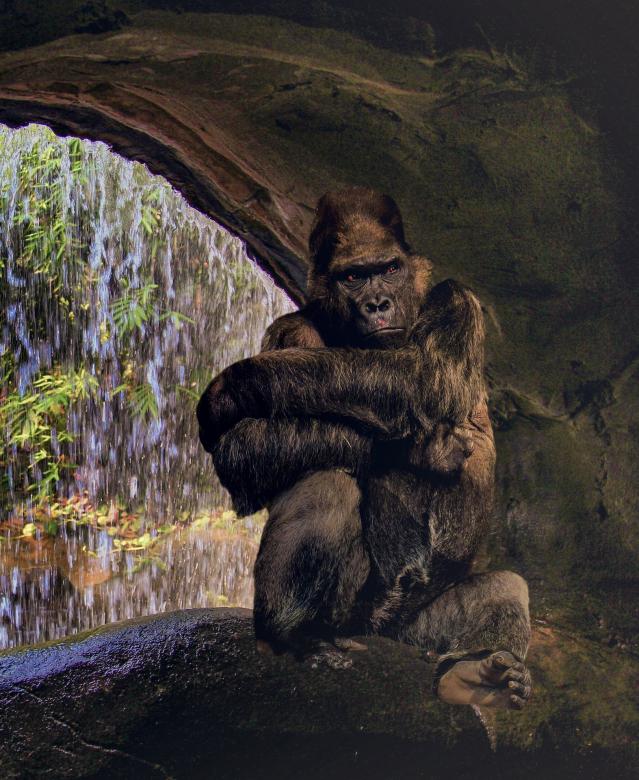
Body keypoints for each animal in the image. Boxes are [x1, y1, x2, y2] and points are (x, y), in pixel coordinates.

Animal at [198, 188, 532, 709]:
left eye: (389, 269)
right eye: (353, 277)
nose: (378, 303)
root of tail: (376, 631)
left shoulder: (457, 300)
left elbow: (423, 376)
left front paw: (234, 385)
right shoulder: (289, 330)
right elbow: (249, 446)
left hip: (410, 634)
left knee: (504, 586)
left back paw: (475, 674)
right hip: (351, 620)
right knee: (325, 482)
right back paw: (291, 636)